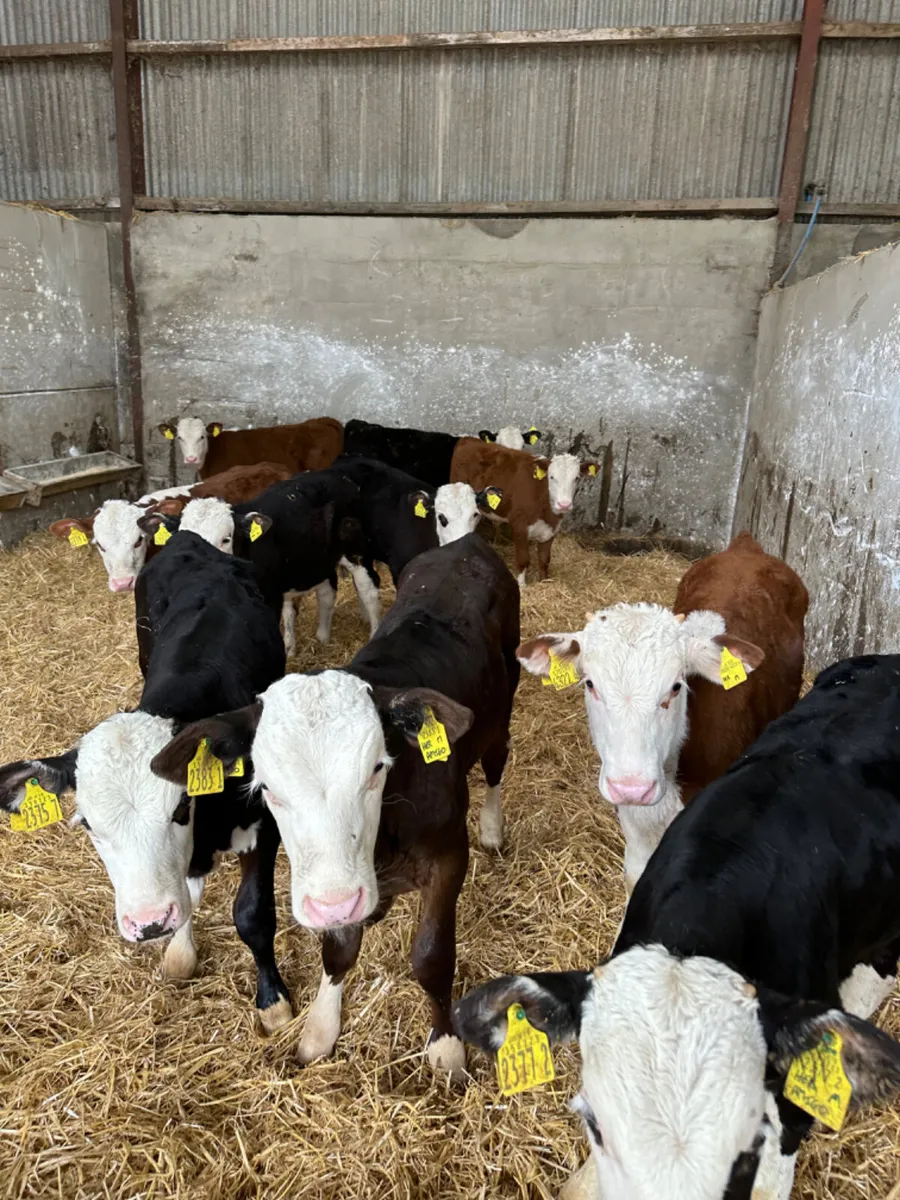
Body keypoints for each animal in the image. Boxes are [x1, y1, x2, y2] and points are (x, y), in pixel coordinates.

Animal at [0, 531, 291, 1032]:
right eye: (88, 825)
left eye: (181, 807)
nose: (150, 922)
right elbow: (188, 889)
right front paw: (179, 951)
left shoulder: (261, 825)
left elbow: (253, 915)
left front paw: (272, 1000)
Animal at [140, 468, 378, 657]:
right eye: (183, 537)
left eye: (226, 538)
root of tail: (342, 477)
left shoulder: (270, 597)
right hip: (318, 559)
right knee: (327, 591)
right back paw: (319, 638)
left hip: (357, 551)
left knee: (369, 589)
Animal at [150, 532, 521, 1077]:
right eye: (266, 787)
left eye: (377, 768)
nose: (336, 902)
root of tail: (466, 543)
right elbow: (337, 952)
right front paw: (320, 1029)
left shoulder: (447, 857)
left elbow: (432, 957)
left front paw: (447, 1046)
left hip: (501, 707)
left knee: (496, 763)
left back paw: (493, 827)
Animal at [450, 438, 599, 585]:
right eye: (551, 477)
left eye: (577, 478)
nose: (564, 505)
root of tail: (467, 439)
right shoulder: (519, 526)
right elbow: (523, 560)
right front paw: (522, 585)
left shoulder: (551, 529)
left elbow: (544, 560)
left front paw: (543, 581)